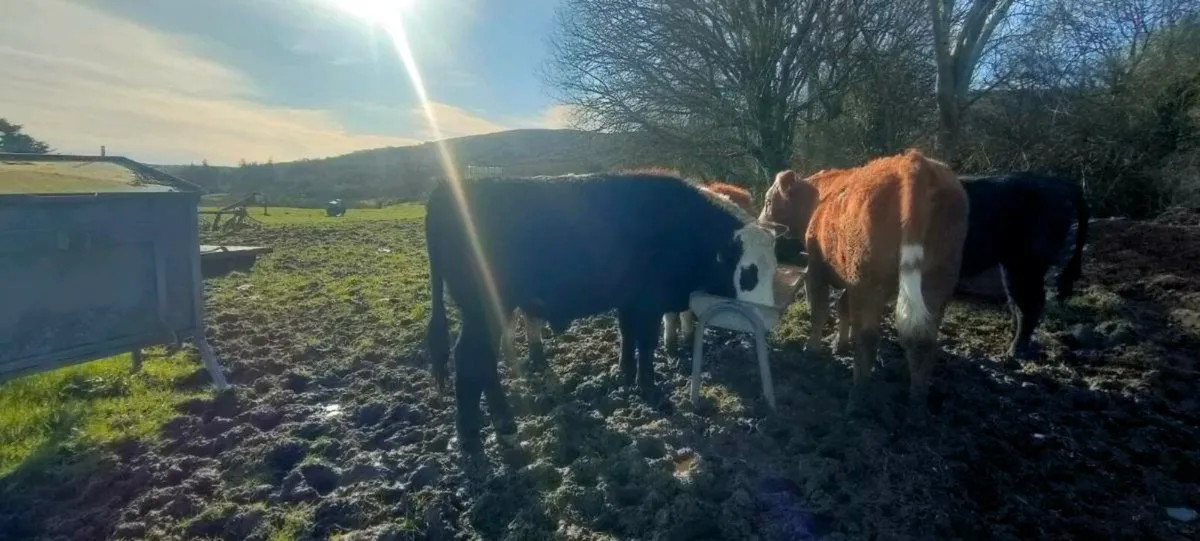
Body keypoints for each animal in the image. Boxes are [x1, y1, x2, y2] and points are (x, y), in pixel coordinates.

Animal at [425, 172, 778, 453]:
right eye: (748, 272)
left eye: (774, 267)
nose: (765, 315)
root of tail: (447, 189)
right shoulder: (648, 303)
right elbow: (646, 344)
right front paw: (650, 389)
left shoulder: (628, 301)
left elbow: (627, 336)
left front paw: (624, 374)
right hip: (481, 309)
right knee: (471, 359)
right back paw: (479, 431)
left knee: (482, 360)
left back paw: (494, 425)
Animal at [759, 149, 969, 422]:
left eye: (767, 201)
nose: (761, 225)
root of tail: (913, 159)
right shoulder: (850, 281)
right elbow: (843, 307)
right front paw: (840, 343)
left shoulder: (817, 269)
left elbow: (820, 310)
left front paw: (813, 348)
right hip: (937, 280)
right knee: (924, 340)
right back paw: (917, 405)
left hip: (869, 281)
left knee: (868, 337)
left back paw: (857, 399)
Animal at [956, 172, 1089, 359]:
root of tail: (1065, 185)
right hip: (1013, 265)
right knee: (1017, 301)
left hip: (1026, 263)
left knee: (1032, 303)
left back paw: (1013, 352)